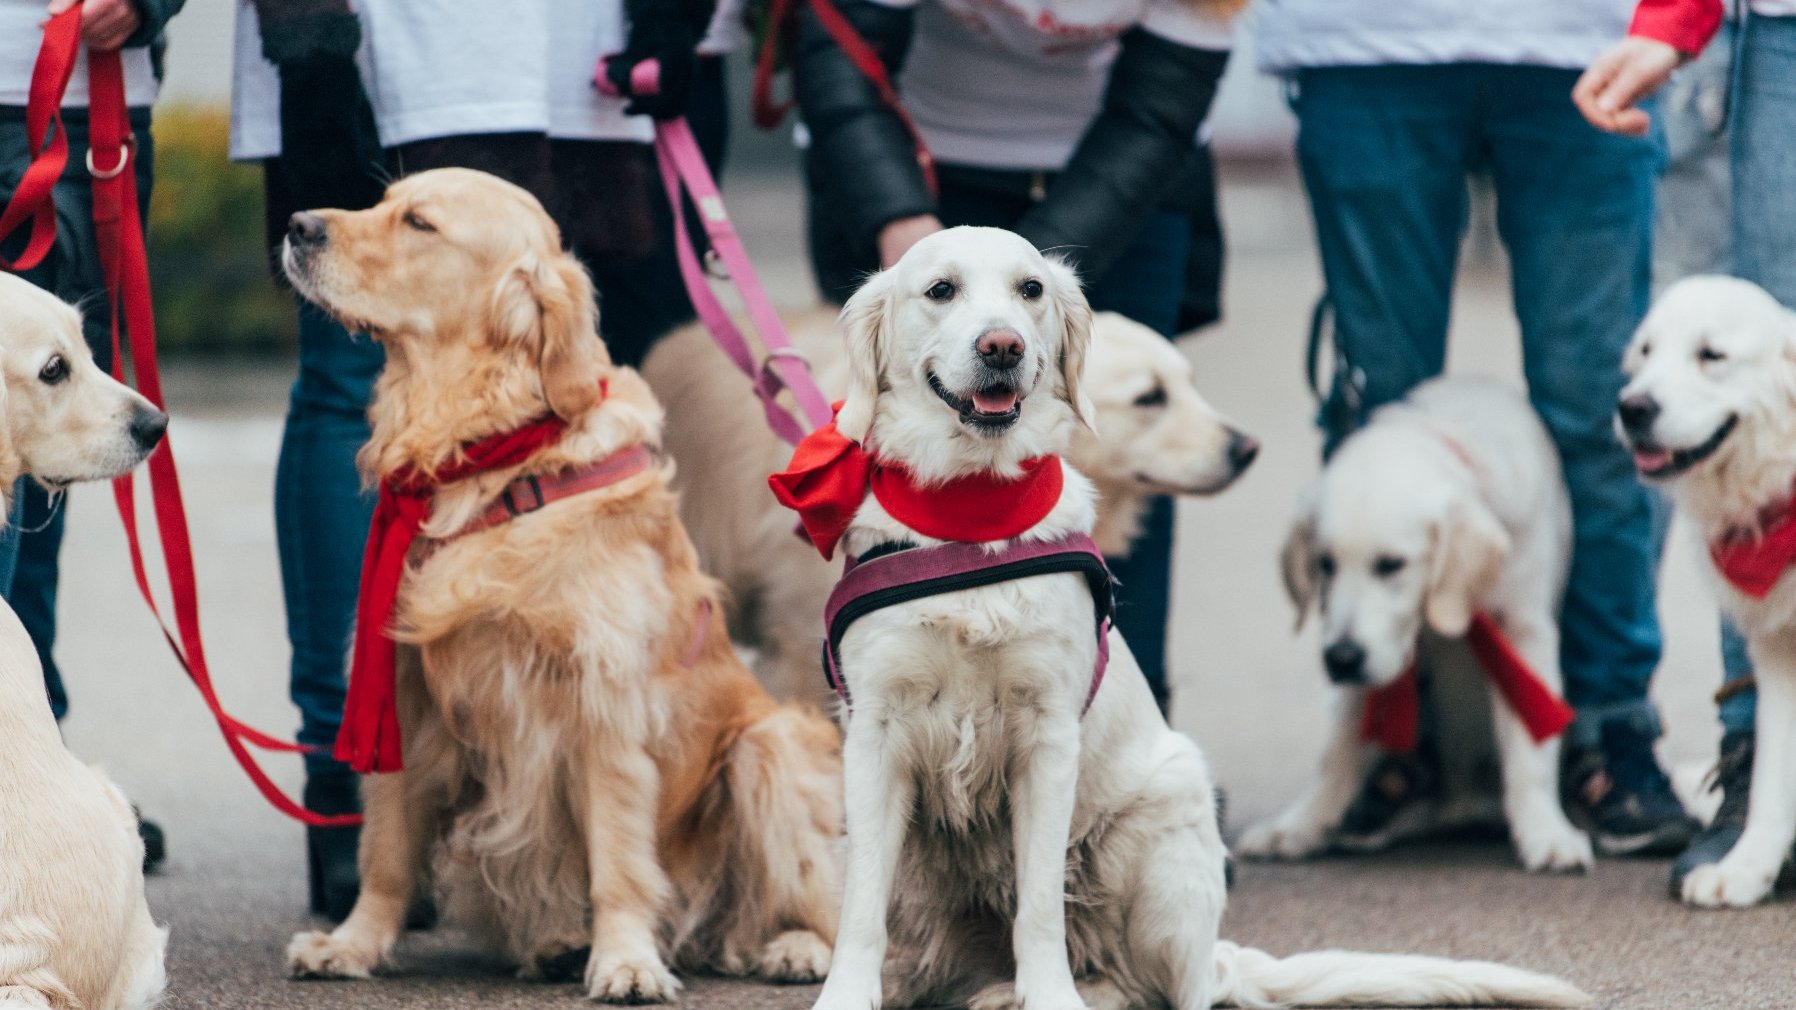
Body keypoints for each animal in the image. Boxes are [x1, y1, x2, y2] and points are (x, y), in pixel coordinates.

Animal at [1242, 377, 1594, 873]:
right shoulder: (1371, 655)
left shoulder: (1523, 632)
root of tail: (1462, 802)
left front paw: (1546, 833)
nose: (1341, 659)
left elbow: (1530, 749)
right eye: (1325, 564)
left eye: (1391, 564)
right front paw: (1297, 826)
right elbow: (1338, 749)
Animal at [1616, 274, 1796, 905]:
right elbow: (1772, 784)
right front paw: (1744, 872)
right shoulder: (1779, 652)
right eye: (1646, 352)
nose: (1632, 407)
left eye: (1711, 355)